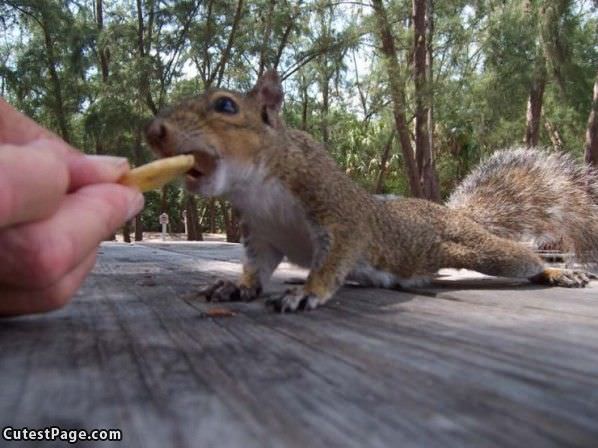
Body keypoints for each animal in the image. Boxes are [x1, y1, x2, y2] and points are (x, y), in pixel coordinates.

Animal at [146, 72, 598, 314]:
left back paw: (556, 272)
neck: (256, 188)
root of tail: (451, 213)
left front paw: (306, 293)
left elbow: (335, 258)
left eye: (226, 106)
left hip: (468, 247)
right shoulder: (263, 235)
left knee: (516, 257)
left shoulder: (338, 212)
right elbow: (258, 267)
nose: (154, 131)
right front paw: (237, 287)